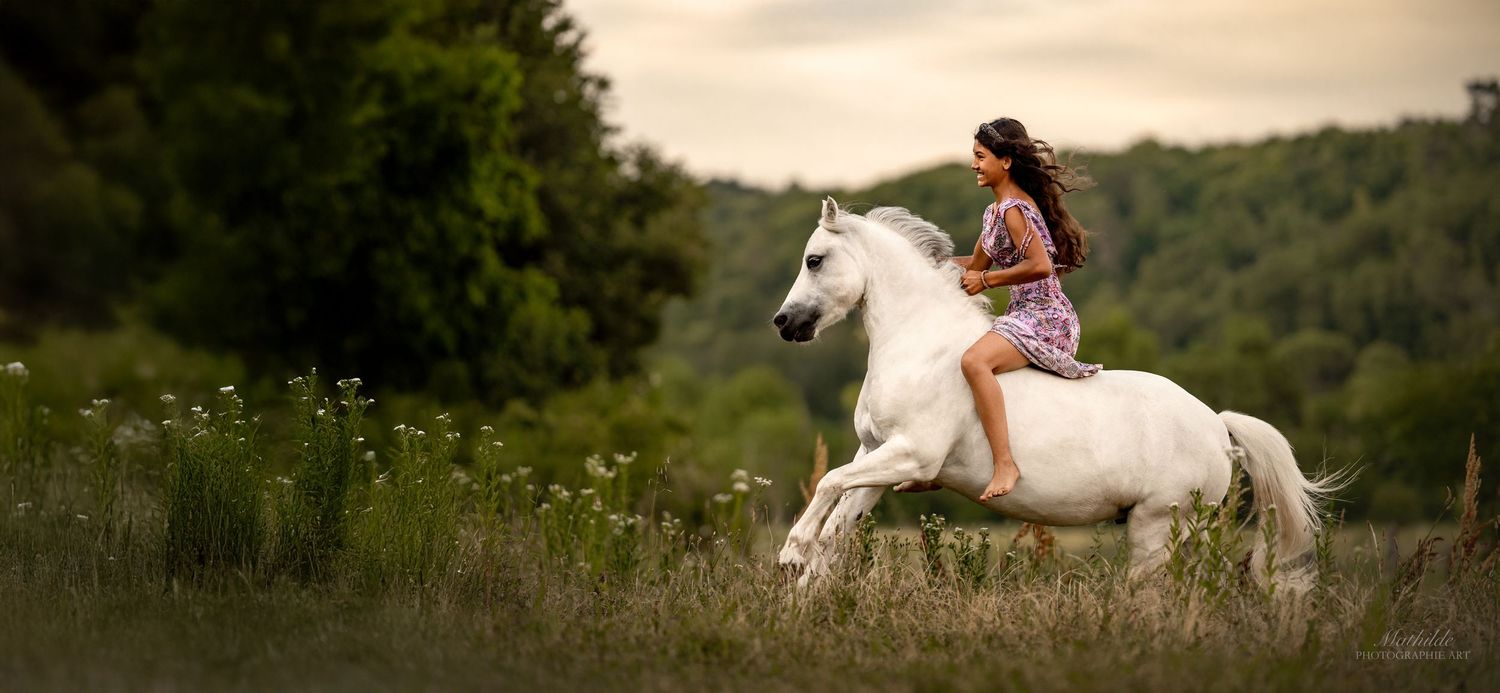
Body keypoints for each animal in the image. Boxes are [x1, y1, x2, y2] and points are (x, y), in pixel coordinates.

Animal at [771, 197, 1347, 586]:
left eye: (814, 259)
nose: (784, 323)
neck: (918, 342)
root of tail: (1217, 423)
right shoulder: (877, 455)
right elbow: (836, 525)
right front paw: (803, 597)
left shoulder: (911, 454)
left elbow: (826, 484)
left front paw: (791, 553)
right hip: (1181, 529)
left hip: (1158, 526)